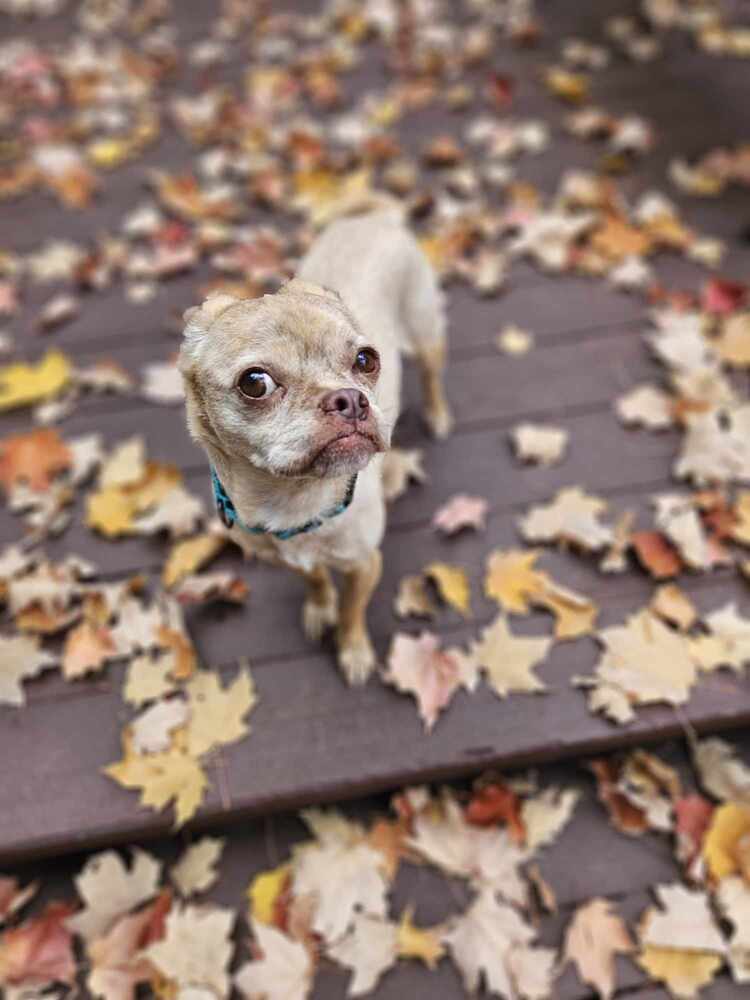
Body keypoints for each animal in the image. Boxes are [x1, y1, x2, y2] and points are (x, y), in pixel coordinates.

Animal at [179, 207, 456, 684]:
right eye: (255, 383)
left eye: (366, 360)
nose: (349, 399)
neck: (297, 501)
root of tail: (374, 216)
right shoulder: (287, 559)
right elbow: (315, 580)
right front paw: (319, 607)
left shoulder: (365, 565)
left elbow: (352, 611)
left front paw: (354, 651)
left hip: (424, 330)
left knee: (431, 373)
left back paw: (437, 416)